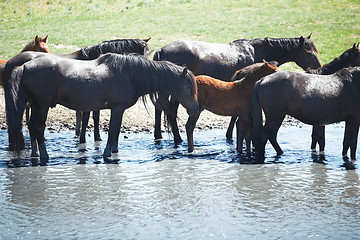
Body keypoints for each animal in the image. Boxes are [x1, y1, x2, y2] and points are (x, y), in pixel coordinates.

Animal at [2, 53, 198, 160]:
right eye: (188, 87)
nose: (195, 109)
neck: (131, 74)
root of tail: (24, 67)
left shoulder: (118, 109)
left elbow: (116, 131)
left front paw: (114, 150)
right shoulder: (117, 108)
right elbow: (113, 130)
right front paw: (107, 153)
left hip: (35, 105)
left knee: (32, 128)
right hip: (41, 106)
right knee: (38, 128)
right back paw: (44, 156)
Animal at [153, 33, 322, 142]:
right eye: (308, 52)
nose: (318, 69)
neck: (257, 51)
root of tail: (161, 50)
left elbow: (234, 114)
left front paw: (230, 135)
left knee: (161, 108)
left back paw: (159, 135)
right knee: (170, 110)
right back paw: (177, 138)